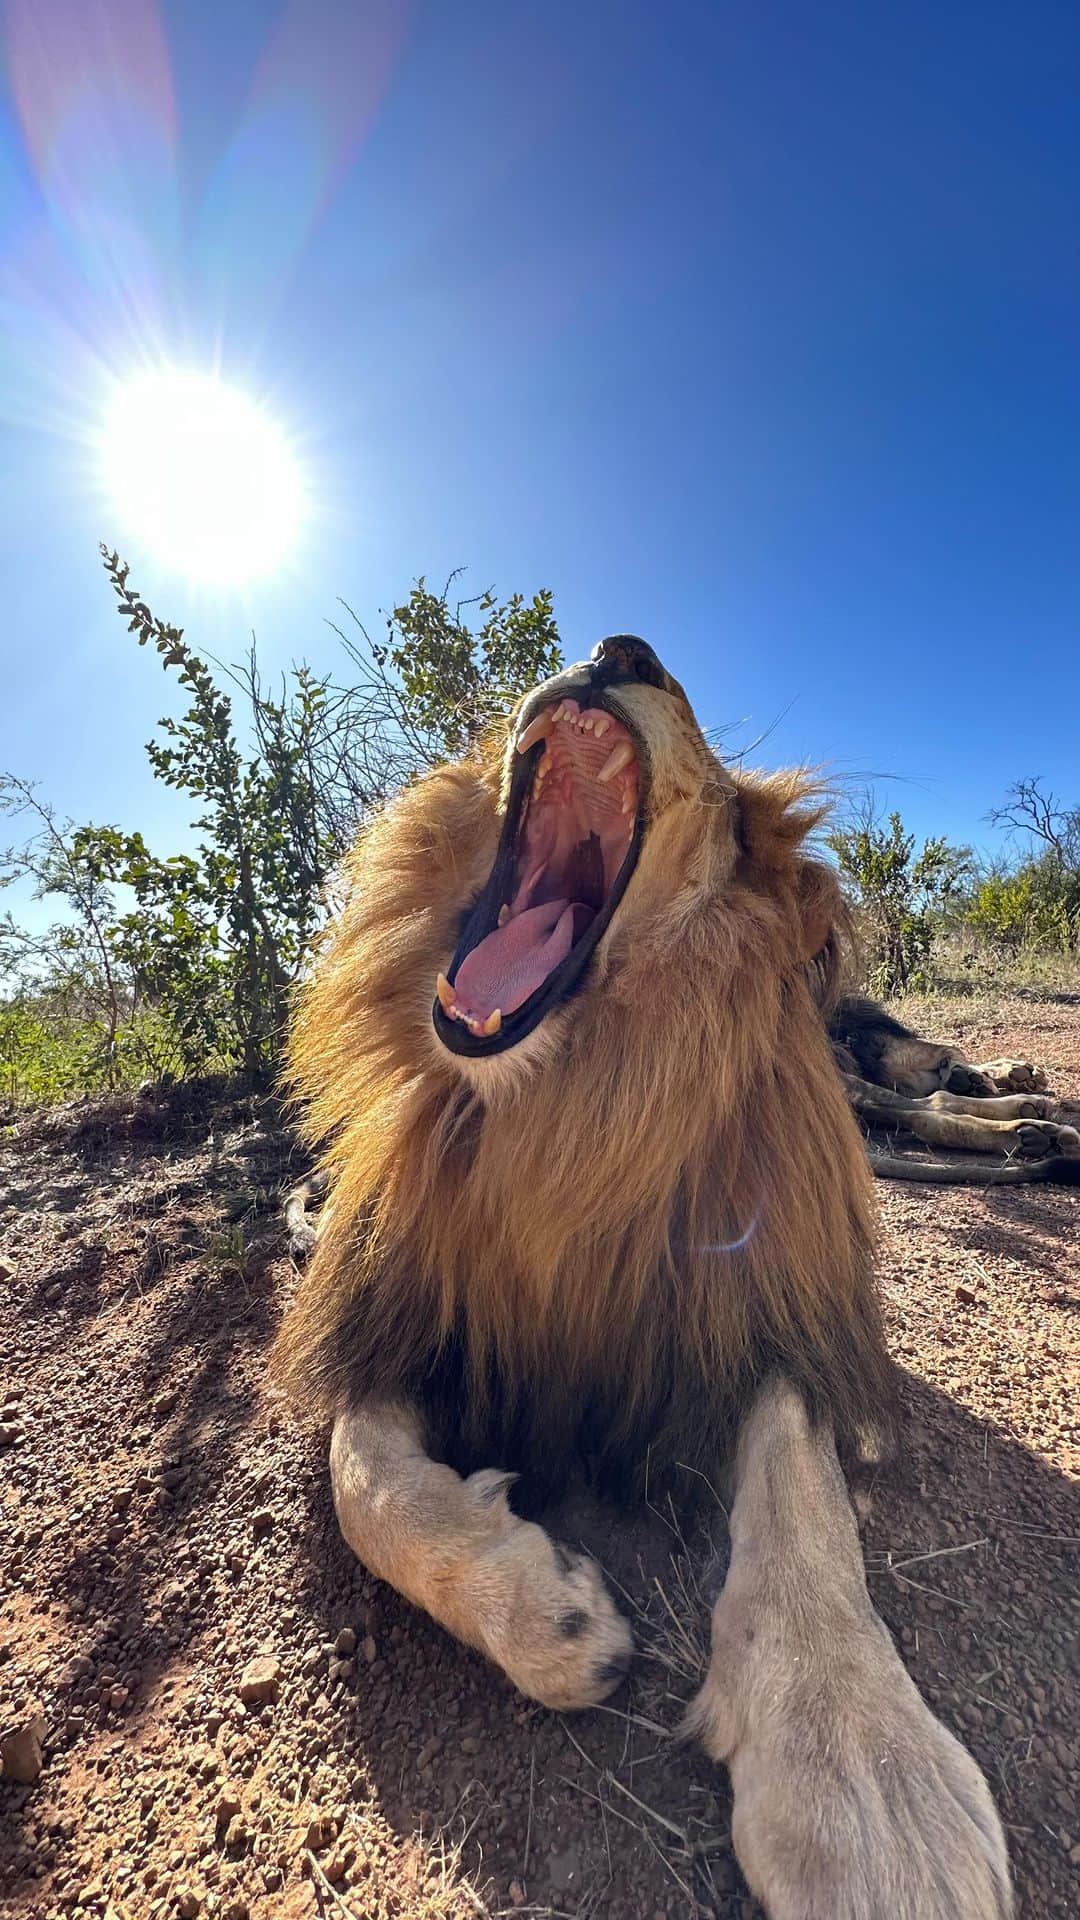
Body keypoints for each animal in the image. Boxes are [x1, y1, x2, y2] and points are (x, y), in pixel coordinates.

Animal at [274, 635, 1012, 1919]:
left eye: (702, 737)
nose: (620, 650)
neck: (572, 1101)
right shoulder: (413, 1317)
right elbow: (362, 1482)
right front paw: (544, 1609)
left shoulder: (762, 1309)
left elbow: (802, 1505)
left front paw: (865, 1777)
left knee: (922, 1091)